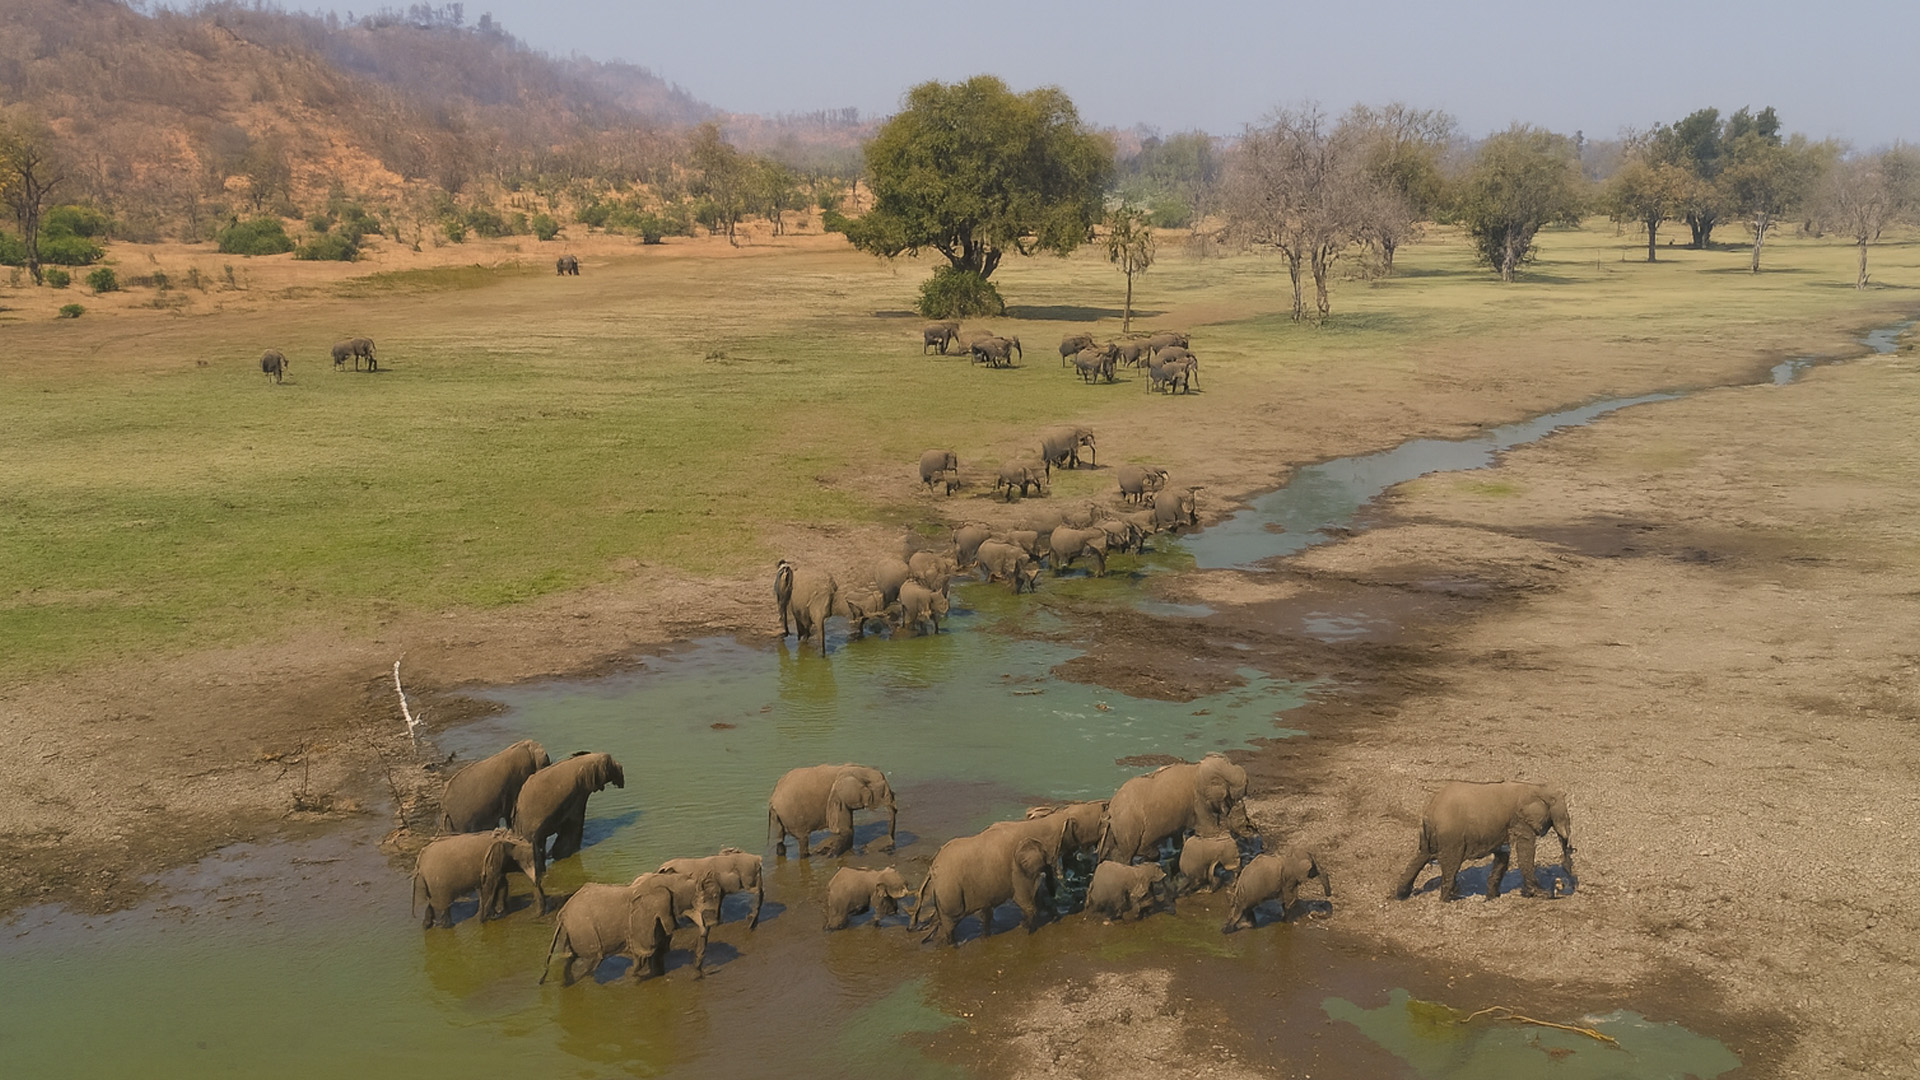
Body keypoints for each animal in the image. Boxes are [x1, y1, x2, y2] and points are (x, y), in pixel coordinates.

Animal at [411, 828, 544, 928]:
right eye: (529, 862)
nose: (536, 916)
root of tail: (419, 864)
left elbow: (501, 884)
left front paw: (497, 914)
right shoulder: (491, 863)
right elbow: (489, 887)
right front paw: (485, 920)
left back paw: (427, 926)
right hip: (437, 885)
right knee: (441, 907)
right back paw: (446, 926)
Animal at [539, 873, 721, 985]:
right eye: (703, 901)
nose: (699, 975)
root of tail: (562, 915)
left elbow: (658, 951)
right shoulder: (645, 921)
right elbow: (644, 954)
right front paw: (630, 977)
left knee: (572, 959)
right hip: (586, 932)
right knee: (591, 960)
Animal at [766, 763, 898, 858]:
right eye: (885, 793)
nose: (890, 844)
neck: (861, 770)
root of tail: (773, 799)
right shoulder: (838, 799)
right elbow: (846, 830)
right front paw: (831, 855)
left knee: (780, 843)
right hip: (793, 818)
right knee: (802, 840)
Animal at [1099, 753, 1252, 864]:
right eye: (1233, 797)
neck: (1199, 767)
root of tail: (1110, 808)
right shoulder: (1198, 801)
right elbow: (1208, 831)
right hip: (1128, 827)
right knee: (1127, 854)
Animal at [1392, 781, 1574, 901]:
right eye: (1565, 814)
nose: (1564, 885)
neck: (1537, 788)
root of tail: (1429, 812)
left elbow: (1503, 855)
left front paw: (1493, 898)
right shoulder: (1521, 821)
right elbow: (1525, 850)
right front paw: (1542, 894)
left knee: (1421, 857)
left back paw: (1399, 896)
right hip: (1452, 838)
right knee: (1451, 865)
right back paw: (1449, 899)